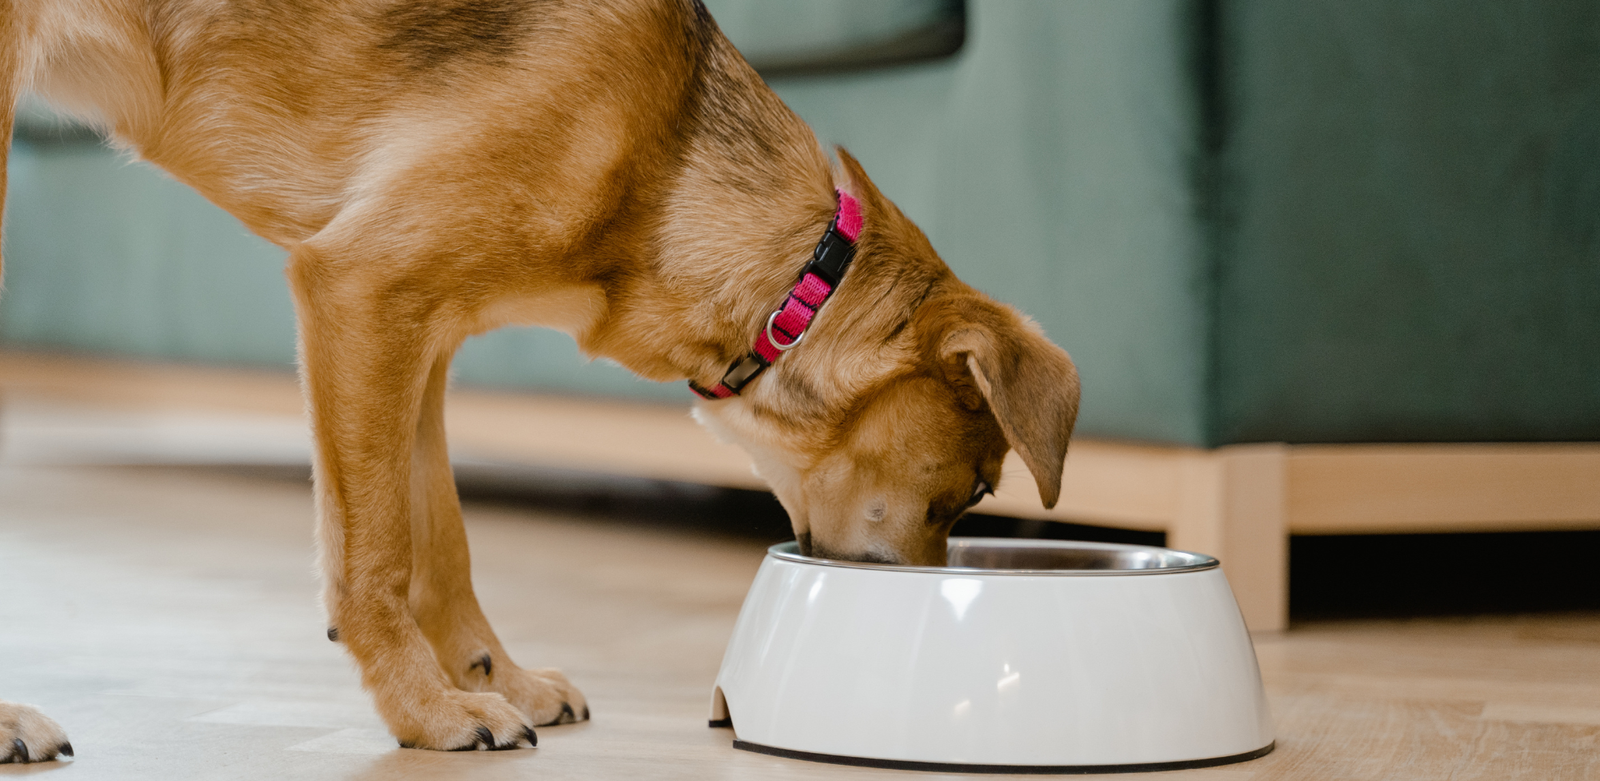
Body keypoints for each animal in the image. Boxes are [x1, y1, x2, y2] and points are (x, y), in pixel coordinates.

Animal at [0, 0, 1081, 758]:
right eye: (972, 489)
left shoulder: (418, 340)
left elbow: (440, 540)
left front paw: (493, 678)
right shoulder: (360, 287)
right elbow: (376, 552)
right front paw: (427, 711)